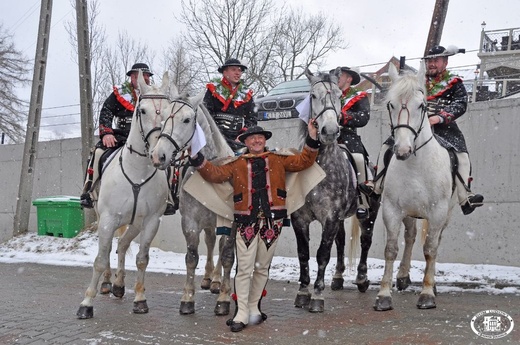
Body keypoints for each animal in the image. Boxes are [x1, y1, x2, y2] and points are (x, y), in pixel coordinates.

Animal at [76, 71, 176, 318]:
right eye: (142, 110)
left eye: (169, 111)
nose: (158, 154)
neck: (137, 173)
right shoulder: (108, 219)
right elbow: (100, 259)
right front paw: (86, 303)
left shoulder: (150, 221)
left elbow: (142, 259)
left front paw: (140, 299)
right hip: (102, 215)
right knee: (109, 250)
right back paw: (106, 283)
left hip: (136, 223)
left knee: (122, 244)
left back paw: (120, 285)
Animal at [150, 93, 236, 314]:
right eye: (163, 117)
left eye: (187, 120)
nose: (158, 155)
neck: (213, 169)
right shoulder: (190, 222)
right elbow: (191, 257)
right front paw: (187, 298)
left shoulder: (230, 223)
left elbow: (227, 256)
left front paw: (224, 298)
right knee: (211, 241)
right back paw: (208, 278)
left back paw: (217, 281)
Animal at [292, 69, 378, 312]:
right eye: (313, 95)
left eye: (340, 96)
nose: (329, 131)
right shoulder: (300, 219)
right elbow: (304, 254)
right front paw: (303, 292)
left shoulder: (329, 218)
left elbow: (322, 254)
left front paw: (317, 296)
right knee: (340, 242)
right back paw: (338, 278)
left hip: (370, 214)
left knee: (366, 241)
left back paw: (361, 278)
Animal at [374, 62, 456, 312]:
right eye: (391, 104)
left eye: (421, 105)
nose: (402, 150)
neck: (415, 166)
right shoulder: (391, 210)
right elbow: (391, 249)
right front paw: (384, 294)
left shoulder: (438, 212)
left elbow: (430, 250)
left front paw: (427, 293)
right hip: (409, 212)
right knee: (409, 238)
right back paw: (402, 276)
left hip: (445, 213)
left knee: (435, 242)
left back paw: (433, 285)